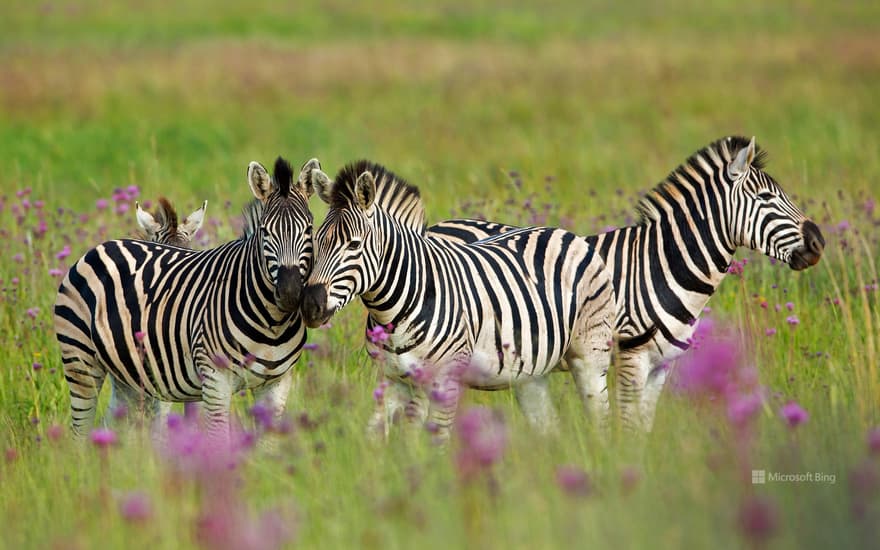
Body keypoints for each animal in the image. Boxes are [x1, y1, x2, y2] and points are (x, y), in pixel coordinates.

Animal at [55, 158, 330, 440]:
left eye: (309, 229)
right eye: (265, 232)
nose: (290, 292)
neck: (272, 323)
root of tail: (103, 245)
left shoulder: (275, 383)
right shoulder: (212, 379)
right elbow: (212, 438)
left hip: (124, 375)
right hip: (80, 361)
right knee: (80, 431)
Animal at [300, 160, 616, 440]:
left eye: (354, 245)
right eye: (316, 241)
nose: (310, 306)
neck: (394, 310)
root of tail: (565, 233)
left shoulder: (445, 379)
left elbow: (436, 439)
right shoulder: (392, 379)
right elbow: (376, 438)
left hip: (590, 355)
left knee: (601, 420)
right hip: (531, 373)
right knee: (548, 428)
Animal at [426, 136, 824, 434]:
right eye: (766, 198)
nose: (818, 243)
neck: (661, 266)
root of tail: (436, 226)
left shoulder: (661, 366)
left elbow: (644, 426)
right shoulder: (633, 358)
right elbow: (629, 426)